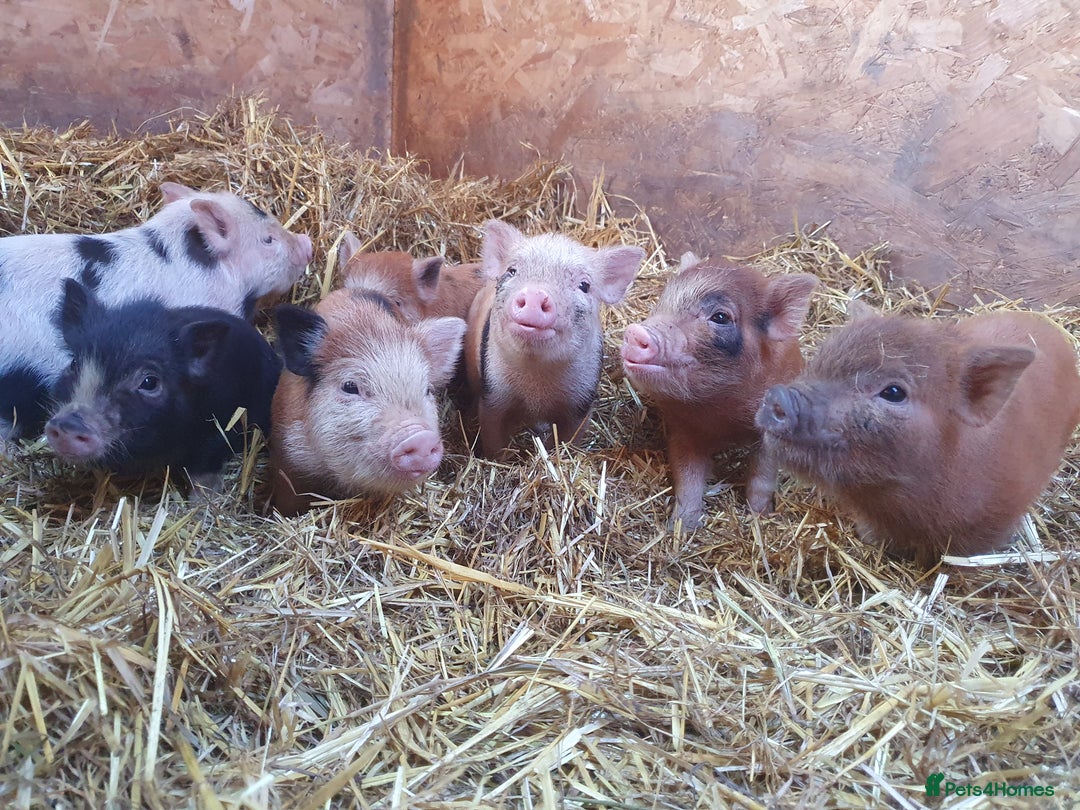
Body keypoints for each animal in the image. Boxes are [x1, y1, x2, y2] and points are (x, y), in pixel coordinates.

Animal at [45, 279, 283, 489]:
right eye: (74, 364)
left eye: (149, 382)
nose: (68, 424)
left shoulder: (224, 424)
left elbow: (204, 468)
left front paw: (202, 499)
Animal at [463, 220, 644, 458]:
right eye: (512, 271)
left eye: (584, 285)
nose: (534, 293)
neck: (536, 384)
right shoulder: (492, 394)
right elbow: (494, 439)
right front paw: (499, 459)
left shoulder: (581, 404)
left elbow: (571, 439)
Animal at [621, 253, 818, 529]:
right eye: (662, 303)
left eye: (721, 317)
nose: (634, 332)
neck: (725, 416)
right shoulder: (682, 428)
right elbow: (688, 477)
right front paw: (680, 527)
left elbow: (763, 476)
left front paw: (760, 516)